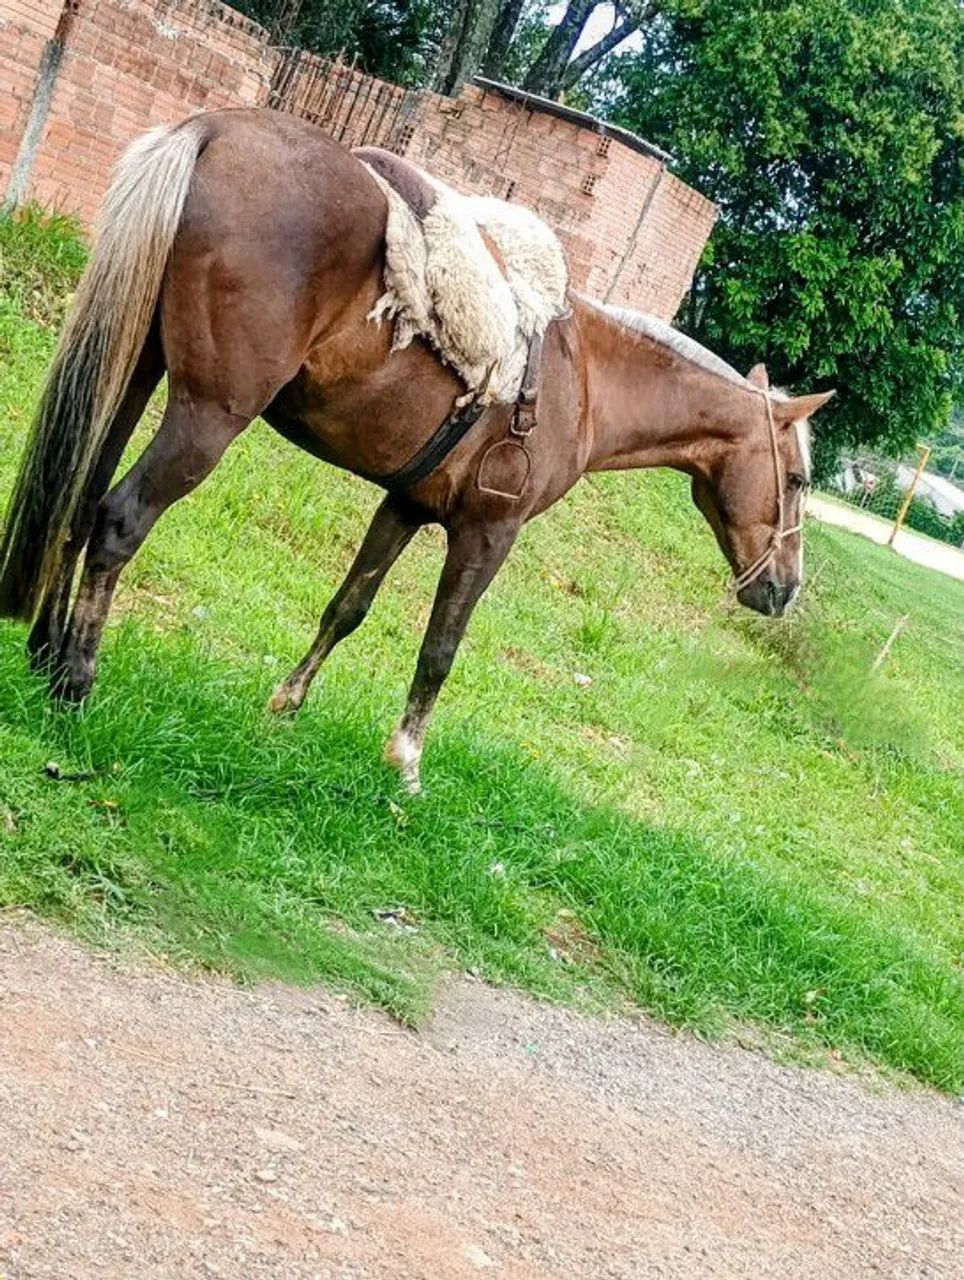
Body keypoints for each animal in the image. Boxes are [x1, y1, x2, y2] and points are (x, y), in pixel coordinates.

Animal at [0, 108, 833, 793]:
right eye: (796, 478)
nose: (784, 589)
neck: (584, 376)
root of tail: (215, 130)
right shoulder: (488, 533)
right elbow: (440, 649)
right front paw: (404, 764)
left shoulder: (406, 503)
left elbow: (348, 607)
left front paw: (285, 706)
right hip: (207, 416)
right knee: (119, 518)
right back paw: (75, 684)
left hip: (133, 370)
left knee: (79, 497)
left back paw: (44, 654)